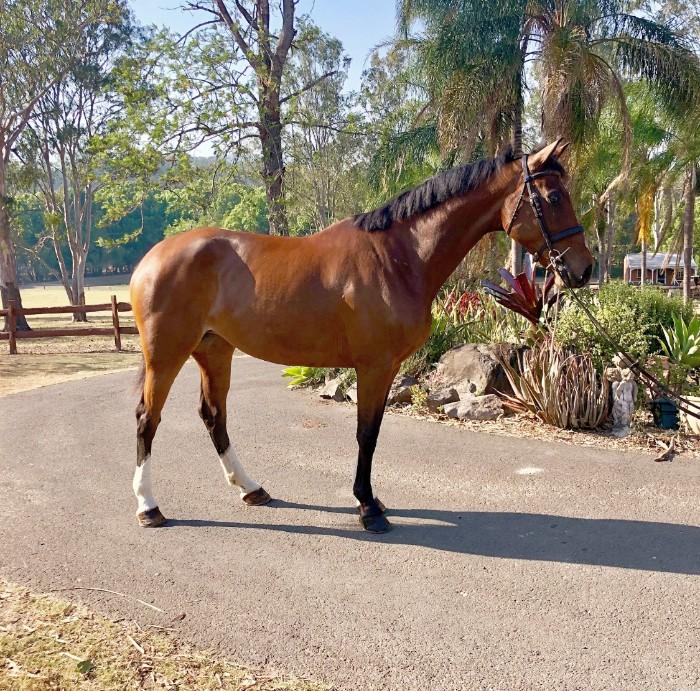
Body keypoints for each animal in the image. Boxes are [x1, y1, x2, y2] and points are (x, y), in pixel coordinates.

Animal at [129, 138, 593, 534]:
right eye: (553, 198)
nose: (583, 269)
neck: (398, 257)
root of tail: (150, 259)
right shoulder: (373, 367)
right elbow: (366, 435)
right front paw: (369, 508)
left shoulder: (386, 370)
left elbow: (373, 431)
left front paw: (372, 501)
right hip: (166, 354)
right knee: (147, 418)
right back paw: (148, 507)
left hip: (215, 349)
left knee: (214, 416)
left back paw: (251, 489)